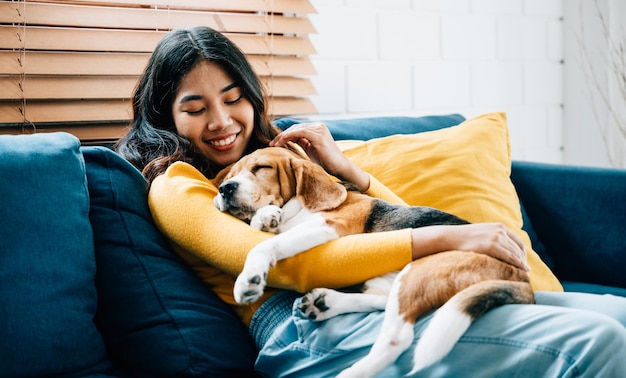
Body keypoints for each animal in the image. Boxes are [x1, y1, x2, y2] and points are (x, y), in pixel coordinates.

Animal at [213, 146, 532, 376]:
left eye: (261, 168)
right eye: (231, 174)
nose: (225, 188)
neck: (298, 208)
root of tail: (523, 279)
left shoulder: (331, 227)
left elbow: (266, 246)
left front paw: (249, 278)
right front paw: (265, 217)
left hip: (420, 270)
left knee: (397, 337)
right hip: (397, 278)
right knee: (383, 301)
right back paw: (326, 303)